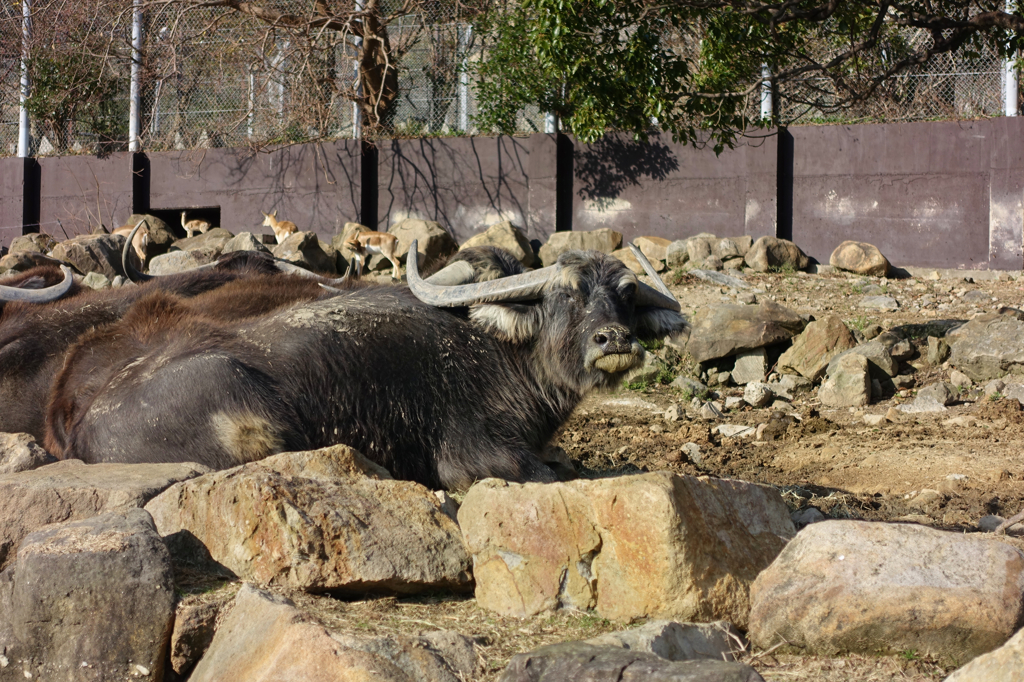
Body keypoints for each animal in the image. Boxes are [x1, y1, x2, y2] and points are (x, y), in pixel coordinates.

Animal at [49, 244, 688, 489]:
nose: (614, 339)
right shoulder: (477, 457)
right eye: (566, 295)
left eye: (626, 296)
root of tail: (82, 427)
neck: (498, 353)